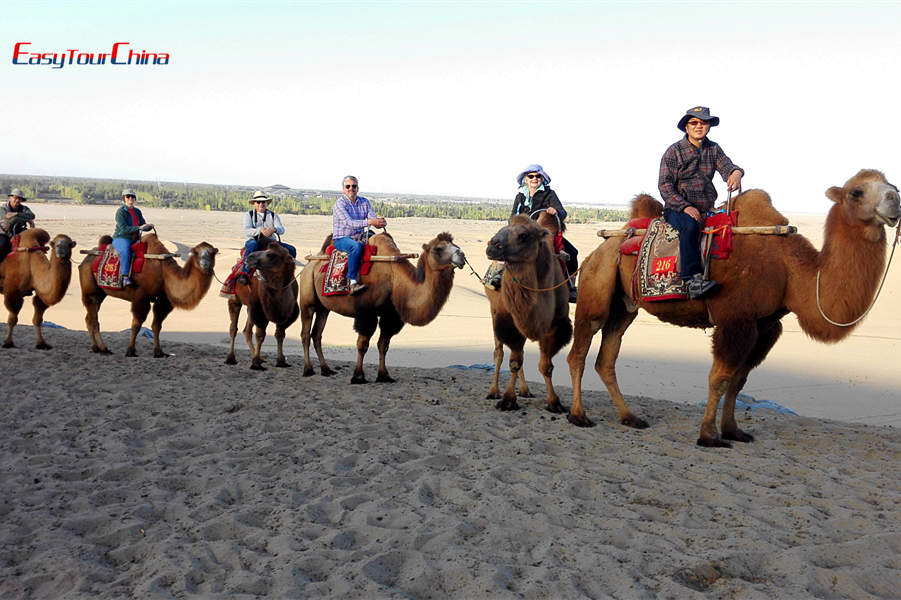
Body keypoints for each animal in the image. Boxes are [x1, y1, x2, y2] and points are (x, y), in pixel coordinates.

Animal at [78, 233, 218, 356]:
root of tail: (85, 260)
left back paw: (96, 348)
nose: (206, 264)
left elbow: (157, 325)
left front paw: (159, 352)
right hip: (90, 290)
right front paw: (130, 351)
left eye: (213, 253)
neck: (163, 271)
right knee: (94, 319)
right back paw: (103, 349)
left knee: (89, 317)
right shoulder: (141, 297)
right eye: (196, 253)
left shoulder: (163, 300)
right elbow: (136, 324)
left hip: (101, 293)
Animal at [300, 232, 468, 382]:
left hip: (324, 308)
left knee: (317, 334)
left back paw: (326, 370)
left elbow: (383, 345)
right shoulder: (367, 312)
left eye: (456, 245)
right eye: (438, 248)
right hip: (307, 299)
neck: (395, 281)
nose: (462, 255)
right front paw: (358, 377)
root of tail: (310, 264)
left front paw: (384, 376)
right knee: (306, 334)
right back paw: (308, 370)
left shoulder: (391, 316)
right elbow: (362, 344)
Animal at [568, 168, 896, 446]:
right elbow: (720, 378)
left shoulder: (766, 326)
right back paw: (578, 415)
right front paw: (708, 435)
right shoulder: (735, 319)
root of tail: (605, 243)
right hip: (596, 284)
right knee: (580, 350)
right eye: (856, 192)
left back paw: (630, 417)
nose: (895, 199)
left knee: (607, 356)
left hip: (625, 305)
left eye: (891, 184)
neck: (791, 270)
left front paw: (733, 431)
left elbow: (739, 381)